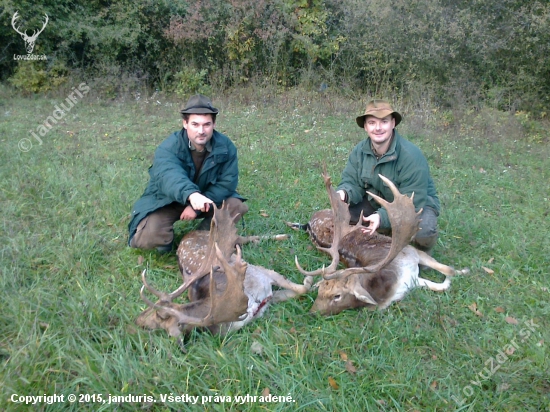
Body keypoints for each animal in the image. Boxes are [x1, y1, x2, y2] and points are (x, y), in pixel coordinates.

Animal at [137, 203, 314, 338]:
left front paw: (309, 280)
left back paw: (283, 235)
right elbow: (299, 291)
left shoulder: (261, 273)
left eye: (155, 313)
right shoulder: (269, 297)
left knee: (243, 237)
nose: (137, 320)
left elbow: (303, 287)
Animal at [294, 171, 470, 316]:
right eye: (321, 290)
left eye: (337, 295)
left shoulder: (411, 252)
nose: (312, 313)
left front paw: (465, 270)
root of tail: (308, 223)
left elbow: (448, 270)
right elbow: (442, 284)